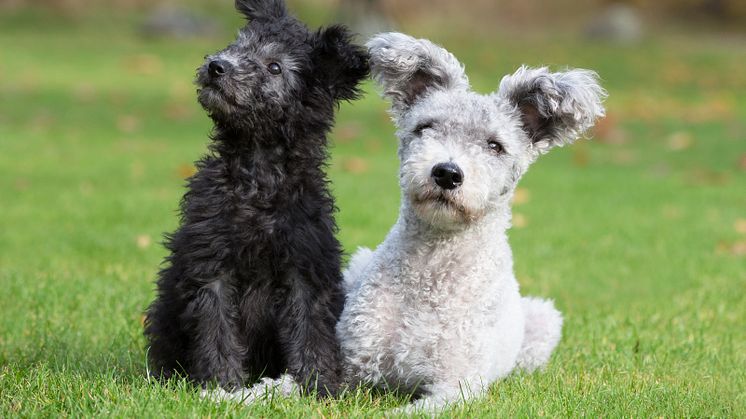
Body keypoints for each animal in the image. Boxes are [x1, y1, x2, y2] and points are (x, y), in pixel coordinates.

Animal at [142, 0, 366, 398]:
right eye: (238, 44)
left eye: (275, 66)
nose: (217, 66)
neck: (257, 180)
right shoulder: (211, 266)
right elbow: (216, 330)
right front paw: (222, 384)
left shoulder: (305, 267)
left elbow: (311, 332)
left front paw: (319, 385)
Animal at [334, 32, 600, 414]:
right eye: (425, 127)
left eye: (495, 146)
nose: (447, 172)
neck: (431, 270)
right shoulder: (345, 360)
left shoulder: (457, 387)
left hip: (543, 323)